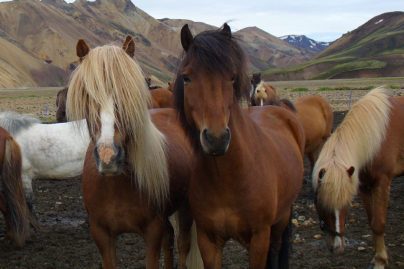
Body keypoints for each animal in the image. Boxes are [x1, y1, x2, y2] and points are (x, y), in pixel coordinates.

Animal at [66, 36, 202, 268]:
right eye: (88, 95)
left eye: (128, 94)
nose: (109, 157)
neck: (115, 185)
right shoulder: (102, 235)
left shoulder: (152, 232)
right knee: (169, 239)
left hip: (185, 208)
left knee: (183, 245)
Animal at [174, 24, 306, 266]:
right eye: (186, 78)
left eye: (232, 77)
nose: (216, 138)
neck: (227, 177)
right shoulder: (208, 241)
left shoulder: (259, 238)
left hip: (282, 217)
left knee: (277, 248)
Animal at [312, 87, 404, 266]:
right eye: (321, 203)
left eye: (347, 204)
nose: (337, 248)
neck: (375, 139)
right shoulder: (364, 186)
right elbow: (371, 221)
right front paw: (377, 256)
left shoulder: (382, 182)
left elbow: (378, 223)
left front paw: (381, 261)